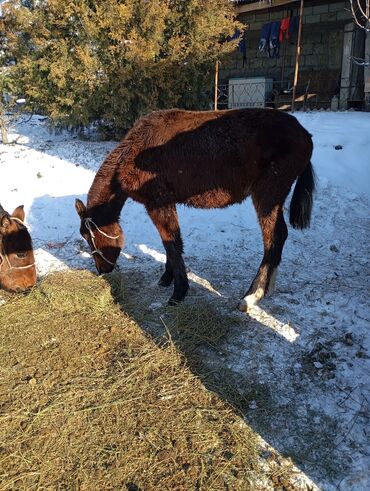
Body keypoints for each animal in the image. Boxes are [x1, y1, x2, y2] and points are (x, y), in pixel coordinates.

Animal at [75, 109, 316, 314]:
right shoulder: (166, 203)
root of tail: (304, 134)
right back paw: (266, 290)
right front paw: (167, 278)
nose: (102, 270)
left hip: (267, 195)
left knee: (274, 238)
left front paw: (178, 293)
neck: (133, 152)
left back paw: (251, 296)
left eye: (89, 236)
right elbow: (172, 242)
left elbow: (171, 244)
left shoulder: (157, 203)